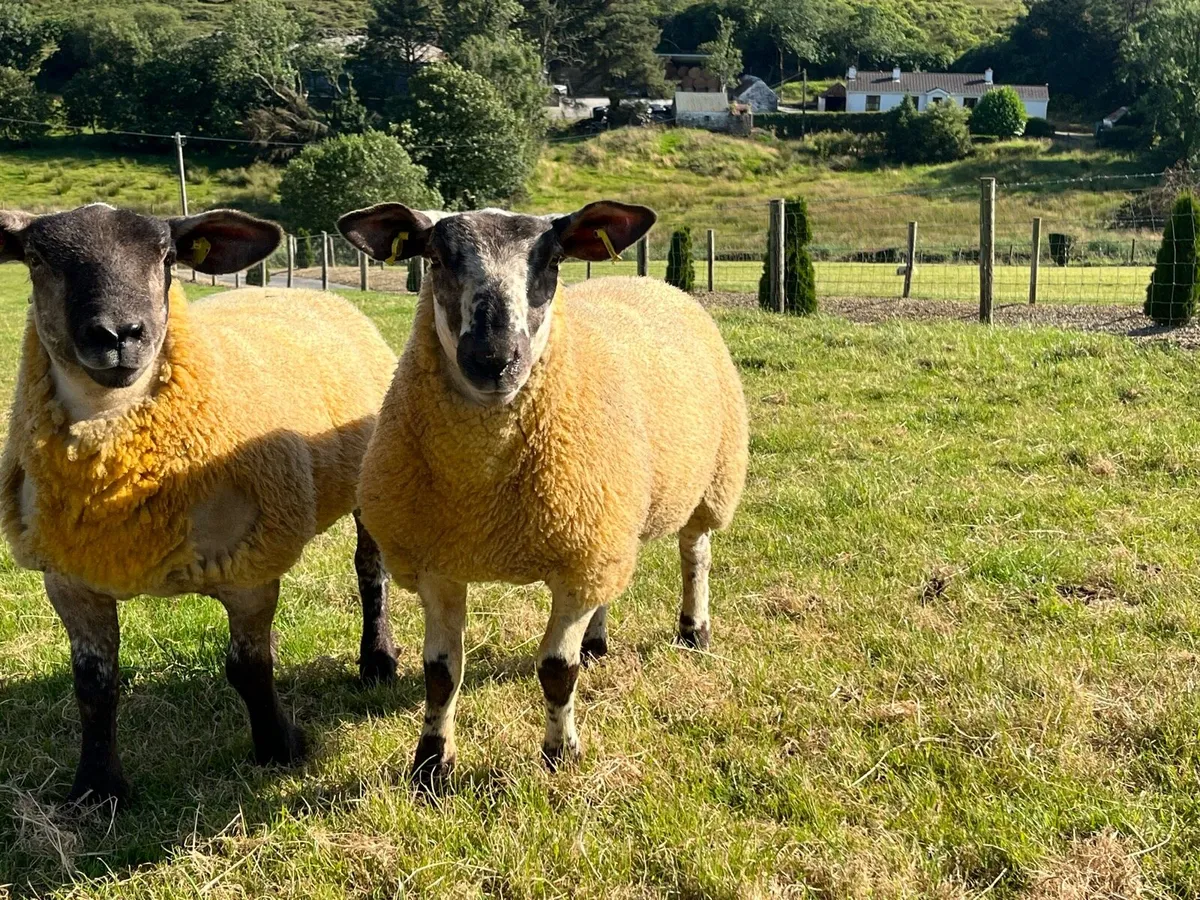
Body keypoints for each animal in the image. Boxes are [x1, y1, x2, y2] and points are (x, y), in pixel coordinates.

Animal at [0, 204, 398, 806]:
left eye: (167, 257)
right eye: (37, 257)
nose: (119, 334)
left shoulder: (249, 567)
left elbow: (249, 668)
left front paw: (279, 748)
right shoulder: (69, 578)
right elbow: (93, 685)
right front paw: (97, 788)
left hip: (368, 478)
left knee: (370, 572)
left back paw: (378, 660)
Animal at [337, 200, 748, 782]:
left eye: (552, 260)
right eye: (435, 257)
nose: (493, 358)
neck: (483, 486)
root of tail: (648, 280)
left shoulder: (576, 563)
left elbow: (556, 670)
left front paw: (560, 755)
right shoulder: (441, 561)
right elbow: (441, 673)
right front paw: (431, 767)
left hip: (707, 481)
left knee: (696, 555)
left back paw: (694, 631)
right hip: (611, 519)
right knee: (616, 582)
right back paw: (598, 642)